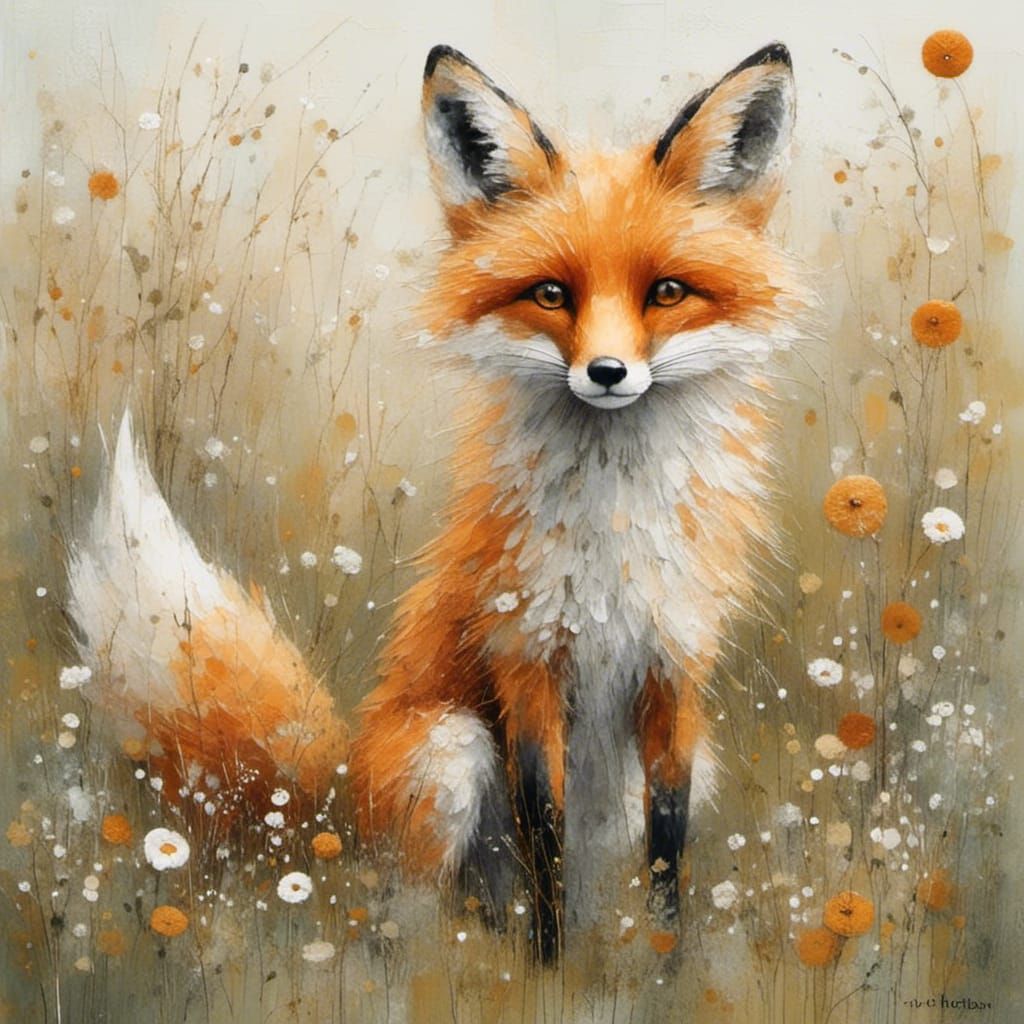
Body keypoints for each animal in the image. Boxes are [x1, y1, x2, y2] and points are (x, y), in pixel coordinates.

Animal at [349, 43, 809, 960]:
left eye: (666, 292)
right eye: (551, 294)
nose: (607, 373)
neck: (613, 531)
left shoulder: (676, 666)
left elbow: (667, 844)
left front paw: (665, 968)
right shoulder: (527, 658)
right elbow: (544, 837)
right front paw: (552, 969)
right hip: (448, 753)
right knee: (406, 917)